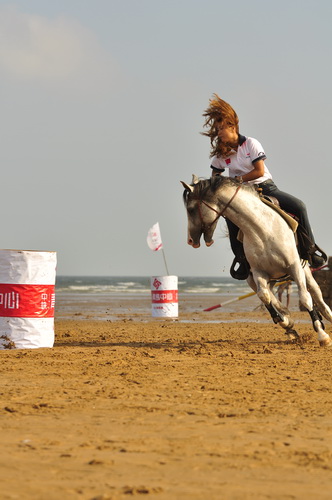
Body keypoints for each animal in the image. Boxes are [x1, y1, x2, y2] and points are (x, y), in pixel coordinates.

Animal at [182, 174, 332, 346]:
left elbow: (306, 298)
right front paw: (285, 321)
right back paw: (288, 323)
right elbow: (265, 297)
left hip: (304, 271)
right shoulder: (258, 273)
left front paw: (322, 335)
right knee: (272, 296)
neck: (261, 230)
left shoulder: (294, 267)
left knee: (316, 293)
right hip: (258, 279)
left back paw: (325, 316)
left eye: (191, 209)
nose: (191, 240)